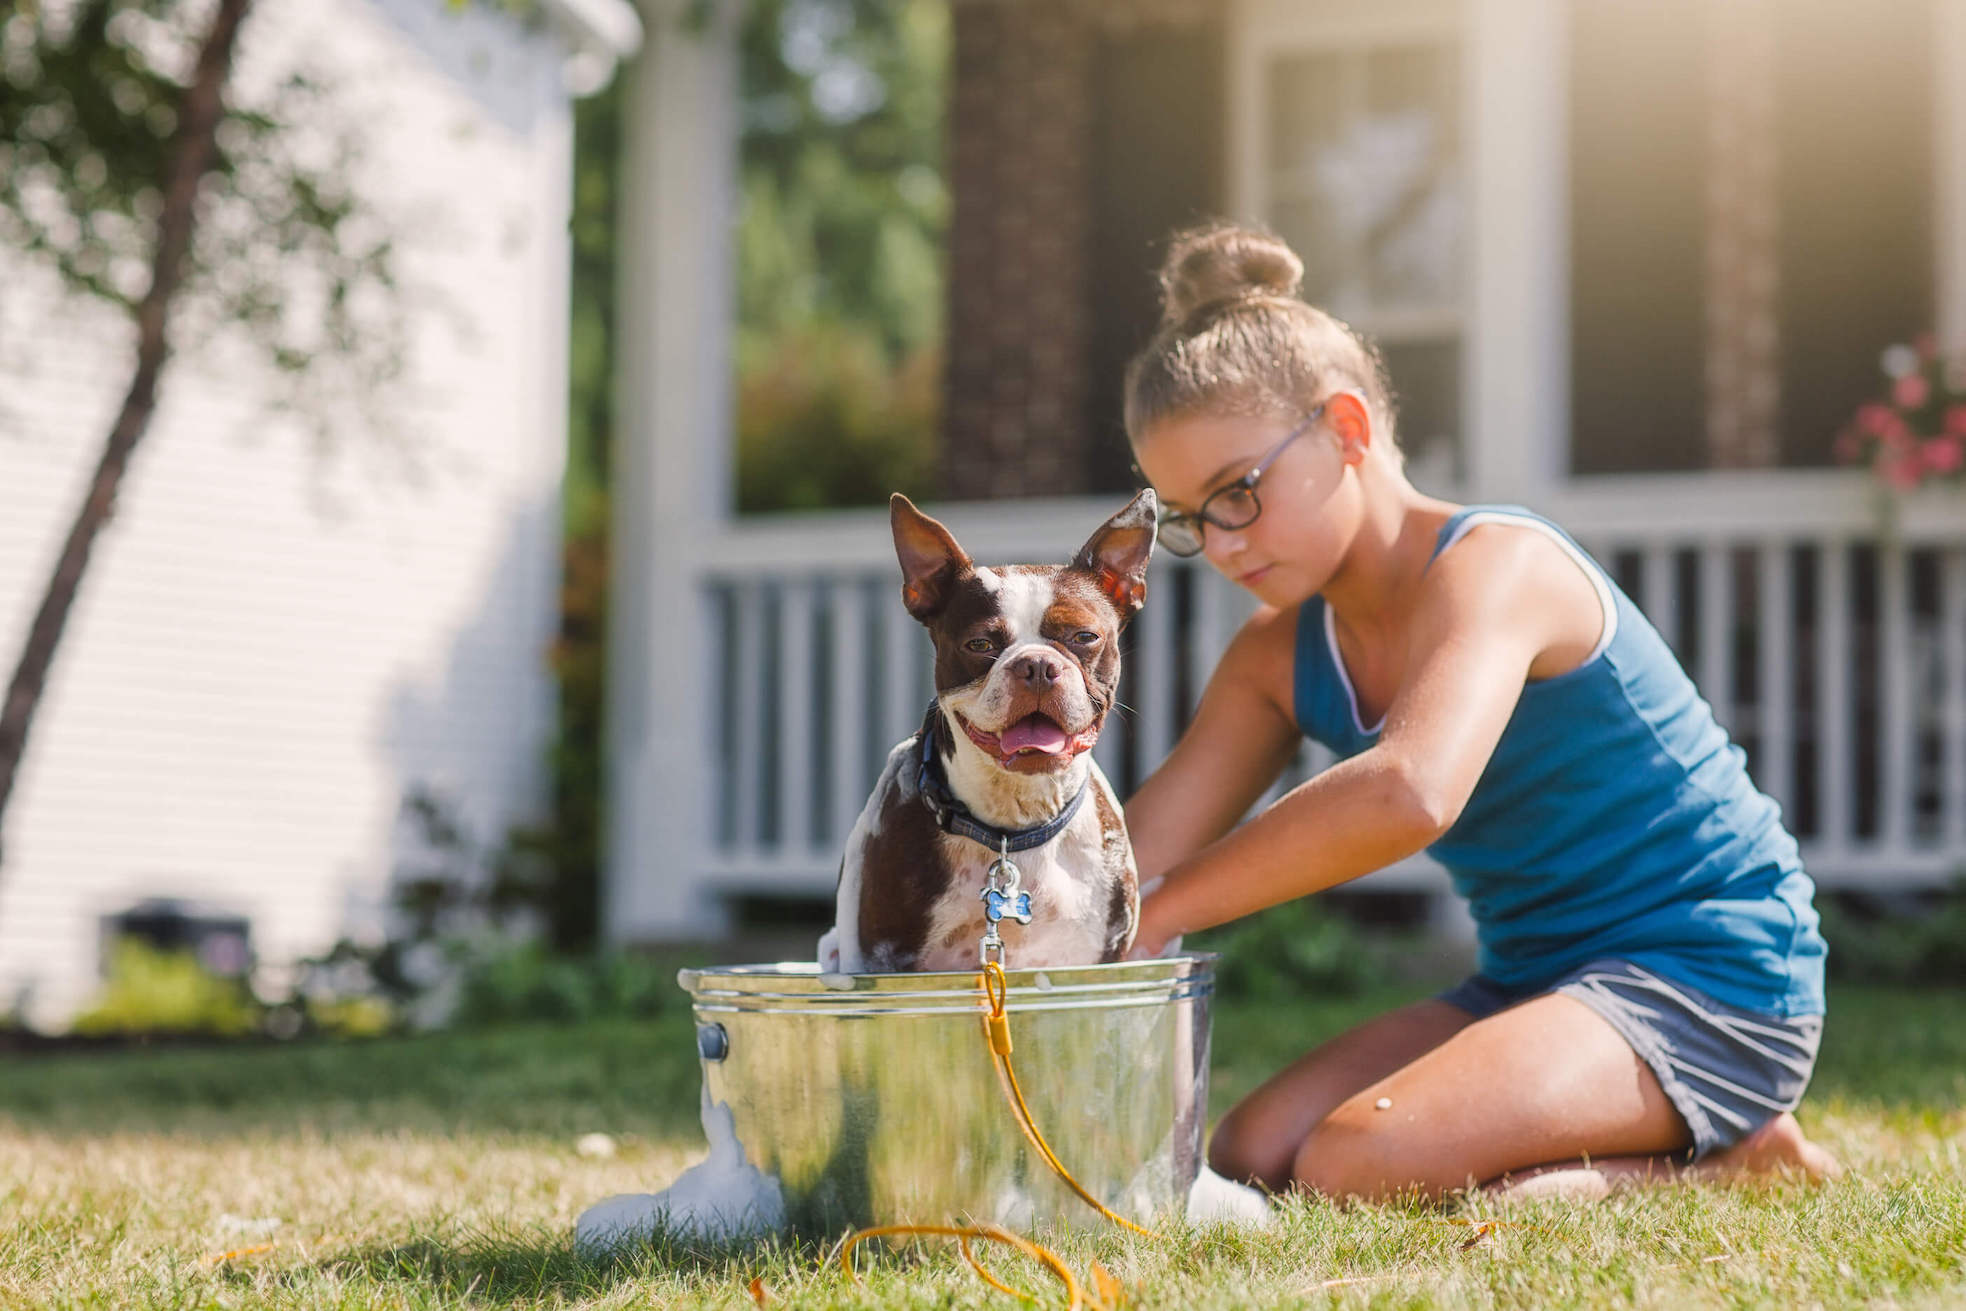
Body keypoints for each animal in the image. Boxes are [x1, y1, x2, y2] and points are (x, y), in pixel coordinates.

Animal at [817, 491, 1156, 974]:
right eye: (980, 644)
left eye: (1084, 637)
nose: (1037, 665)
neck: (1012, 827)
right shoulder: (879, 962)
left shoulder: (1099, 961)